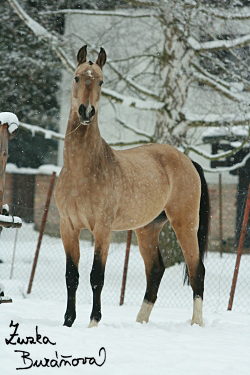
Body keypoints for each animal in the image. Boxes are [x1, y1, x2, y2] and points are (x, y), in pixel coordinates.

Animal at [54, 45, 209, 328]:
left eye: (101, 81)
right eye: (77, 77)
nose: (86, 111)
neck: (83, 172)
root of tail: (187, 160)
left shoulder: (102, 229)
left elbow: (96, 277)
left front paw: (93, 322)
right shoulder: (68, 227)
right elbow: (72, 276)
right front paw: (68, 323)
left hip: (185, 223)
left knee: (196, 270)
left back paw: (196, 323)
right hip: (147, 229)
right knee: (155, 270)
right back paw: (140, 321)